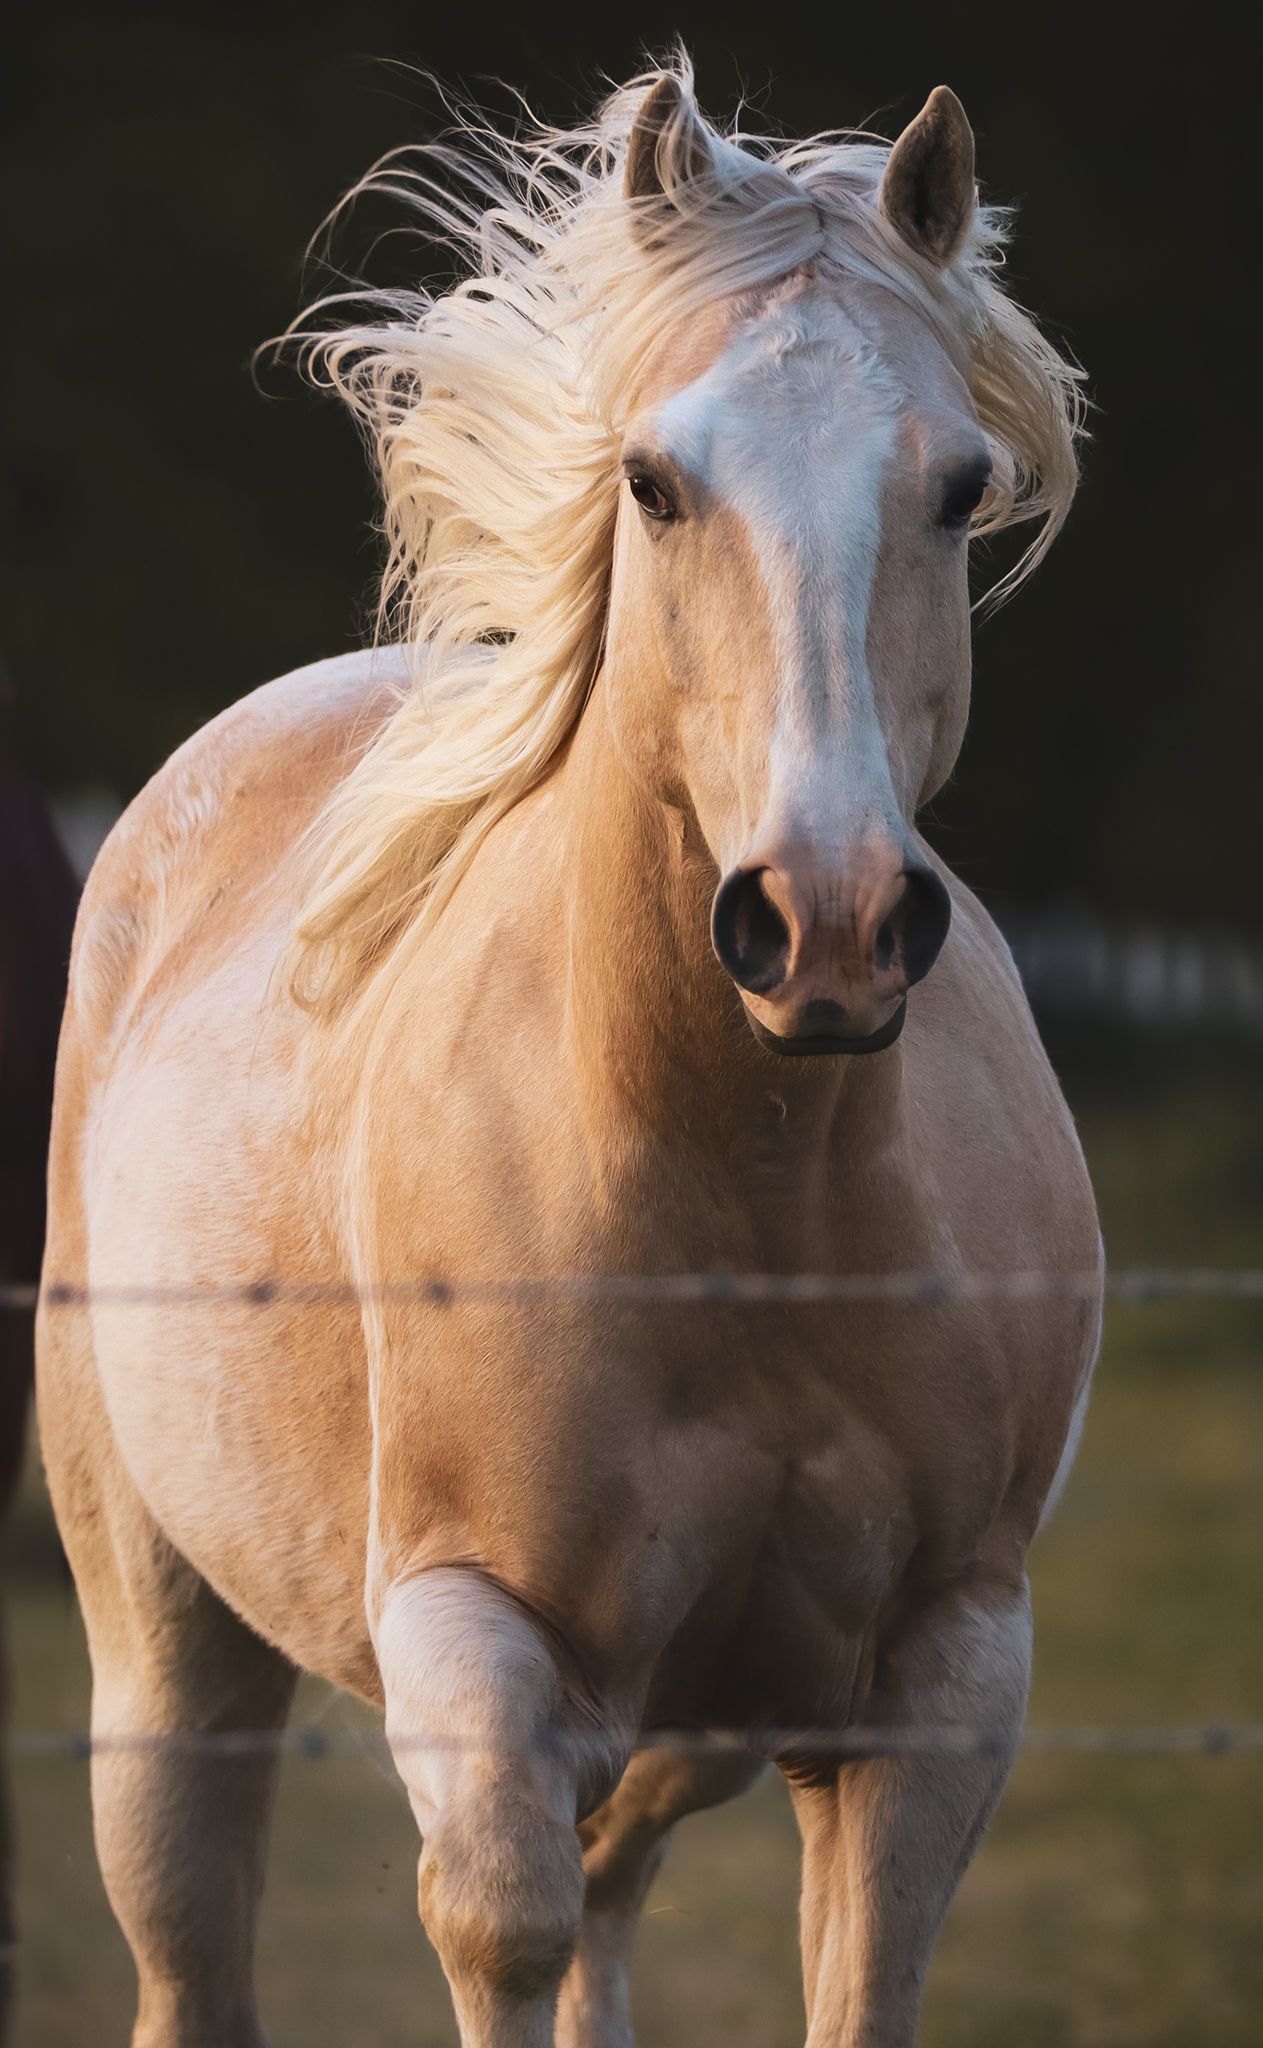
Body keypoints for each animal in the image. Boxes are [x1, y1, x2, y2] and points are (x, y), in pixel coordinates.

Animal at [38, 62, 1101, 2048]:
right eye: (653, 482)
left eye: (955, 487)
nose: (825, 920)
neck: (750, 1191)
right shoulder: (476, 1647)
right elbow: (504, 1932)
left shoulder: (940, 1673)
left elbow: (849, 1980)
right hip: (167, 1655)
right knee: (199, 1949)